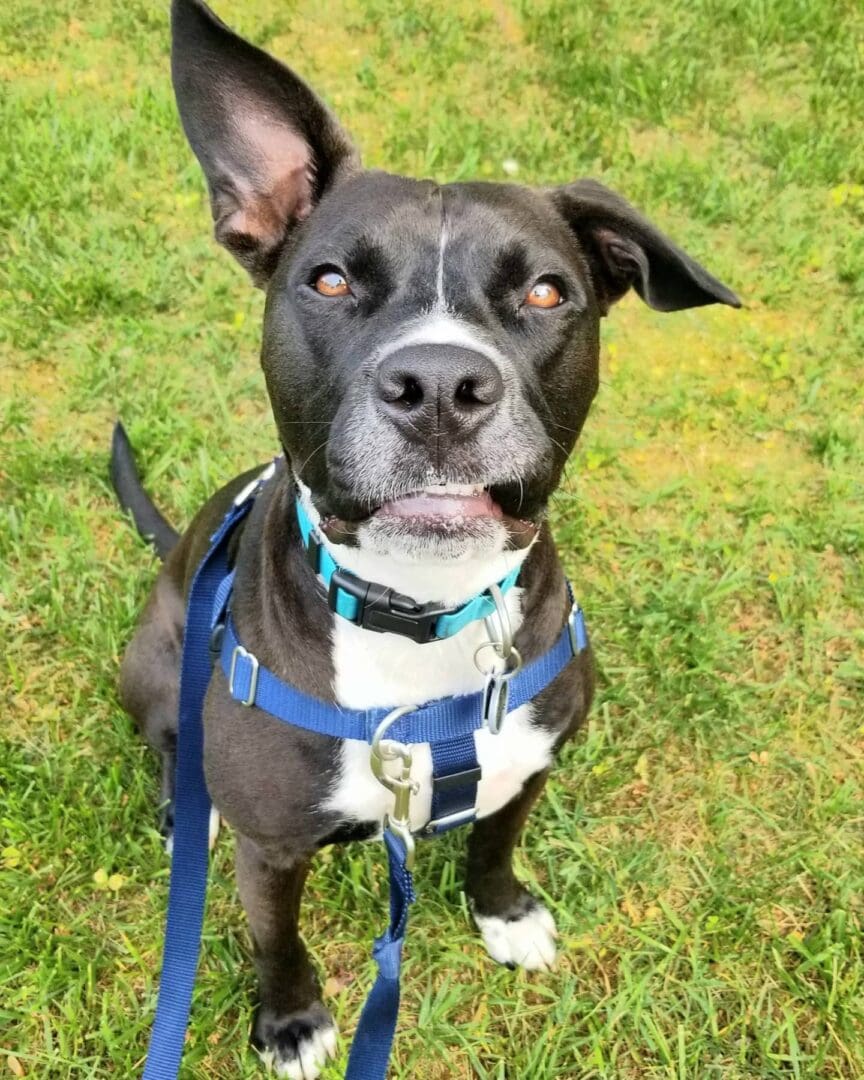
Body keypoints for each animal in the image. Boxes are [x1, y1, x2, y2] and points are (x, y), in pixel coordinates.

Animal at [111, 2, 738, 1071]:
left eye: (545, 293)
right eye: (328, 281)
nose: (440, 385)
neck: (423, 613)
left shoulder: (528, 765)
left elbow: (493, 843)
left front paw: (504, 914)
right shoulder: (272, 848)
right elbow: (277, 938)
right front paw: (291, 1021)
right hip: (152, 662)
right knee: (168, 748)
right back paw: (177, 815)